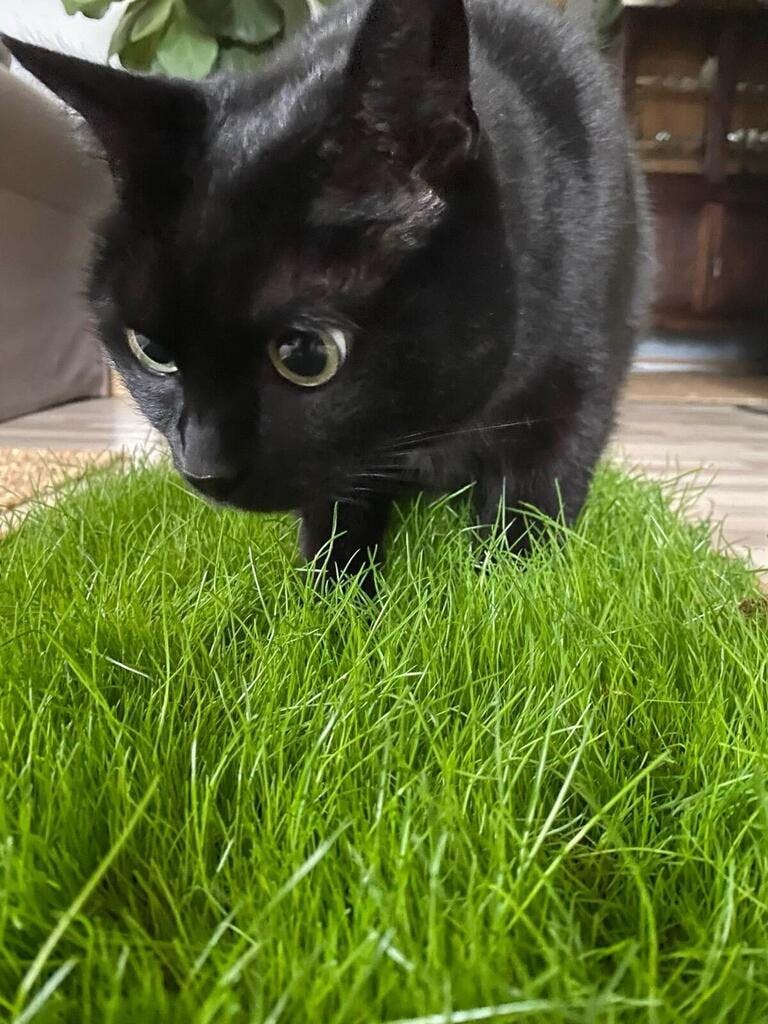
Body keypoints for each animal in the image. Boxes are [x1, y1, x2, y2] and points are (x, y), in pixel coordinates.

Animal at [3, 0, 652, 594]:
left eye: (307, 356)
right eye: (152, 352)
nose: (203, 470)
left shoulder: (571, 393)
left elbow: (528, 519)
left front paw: (503, 602)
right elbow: (336, 517)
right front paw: (335, 612)